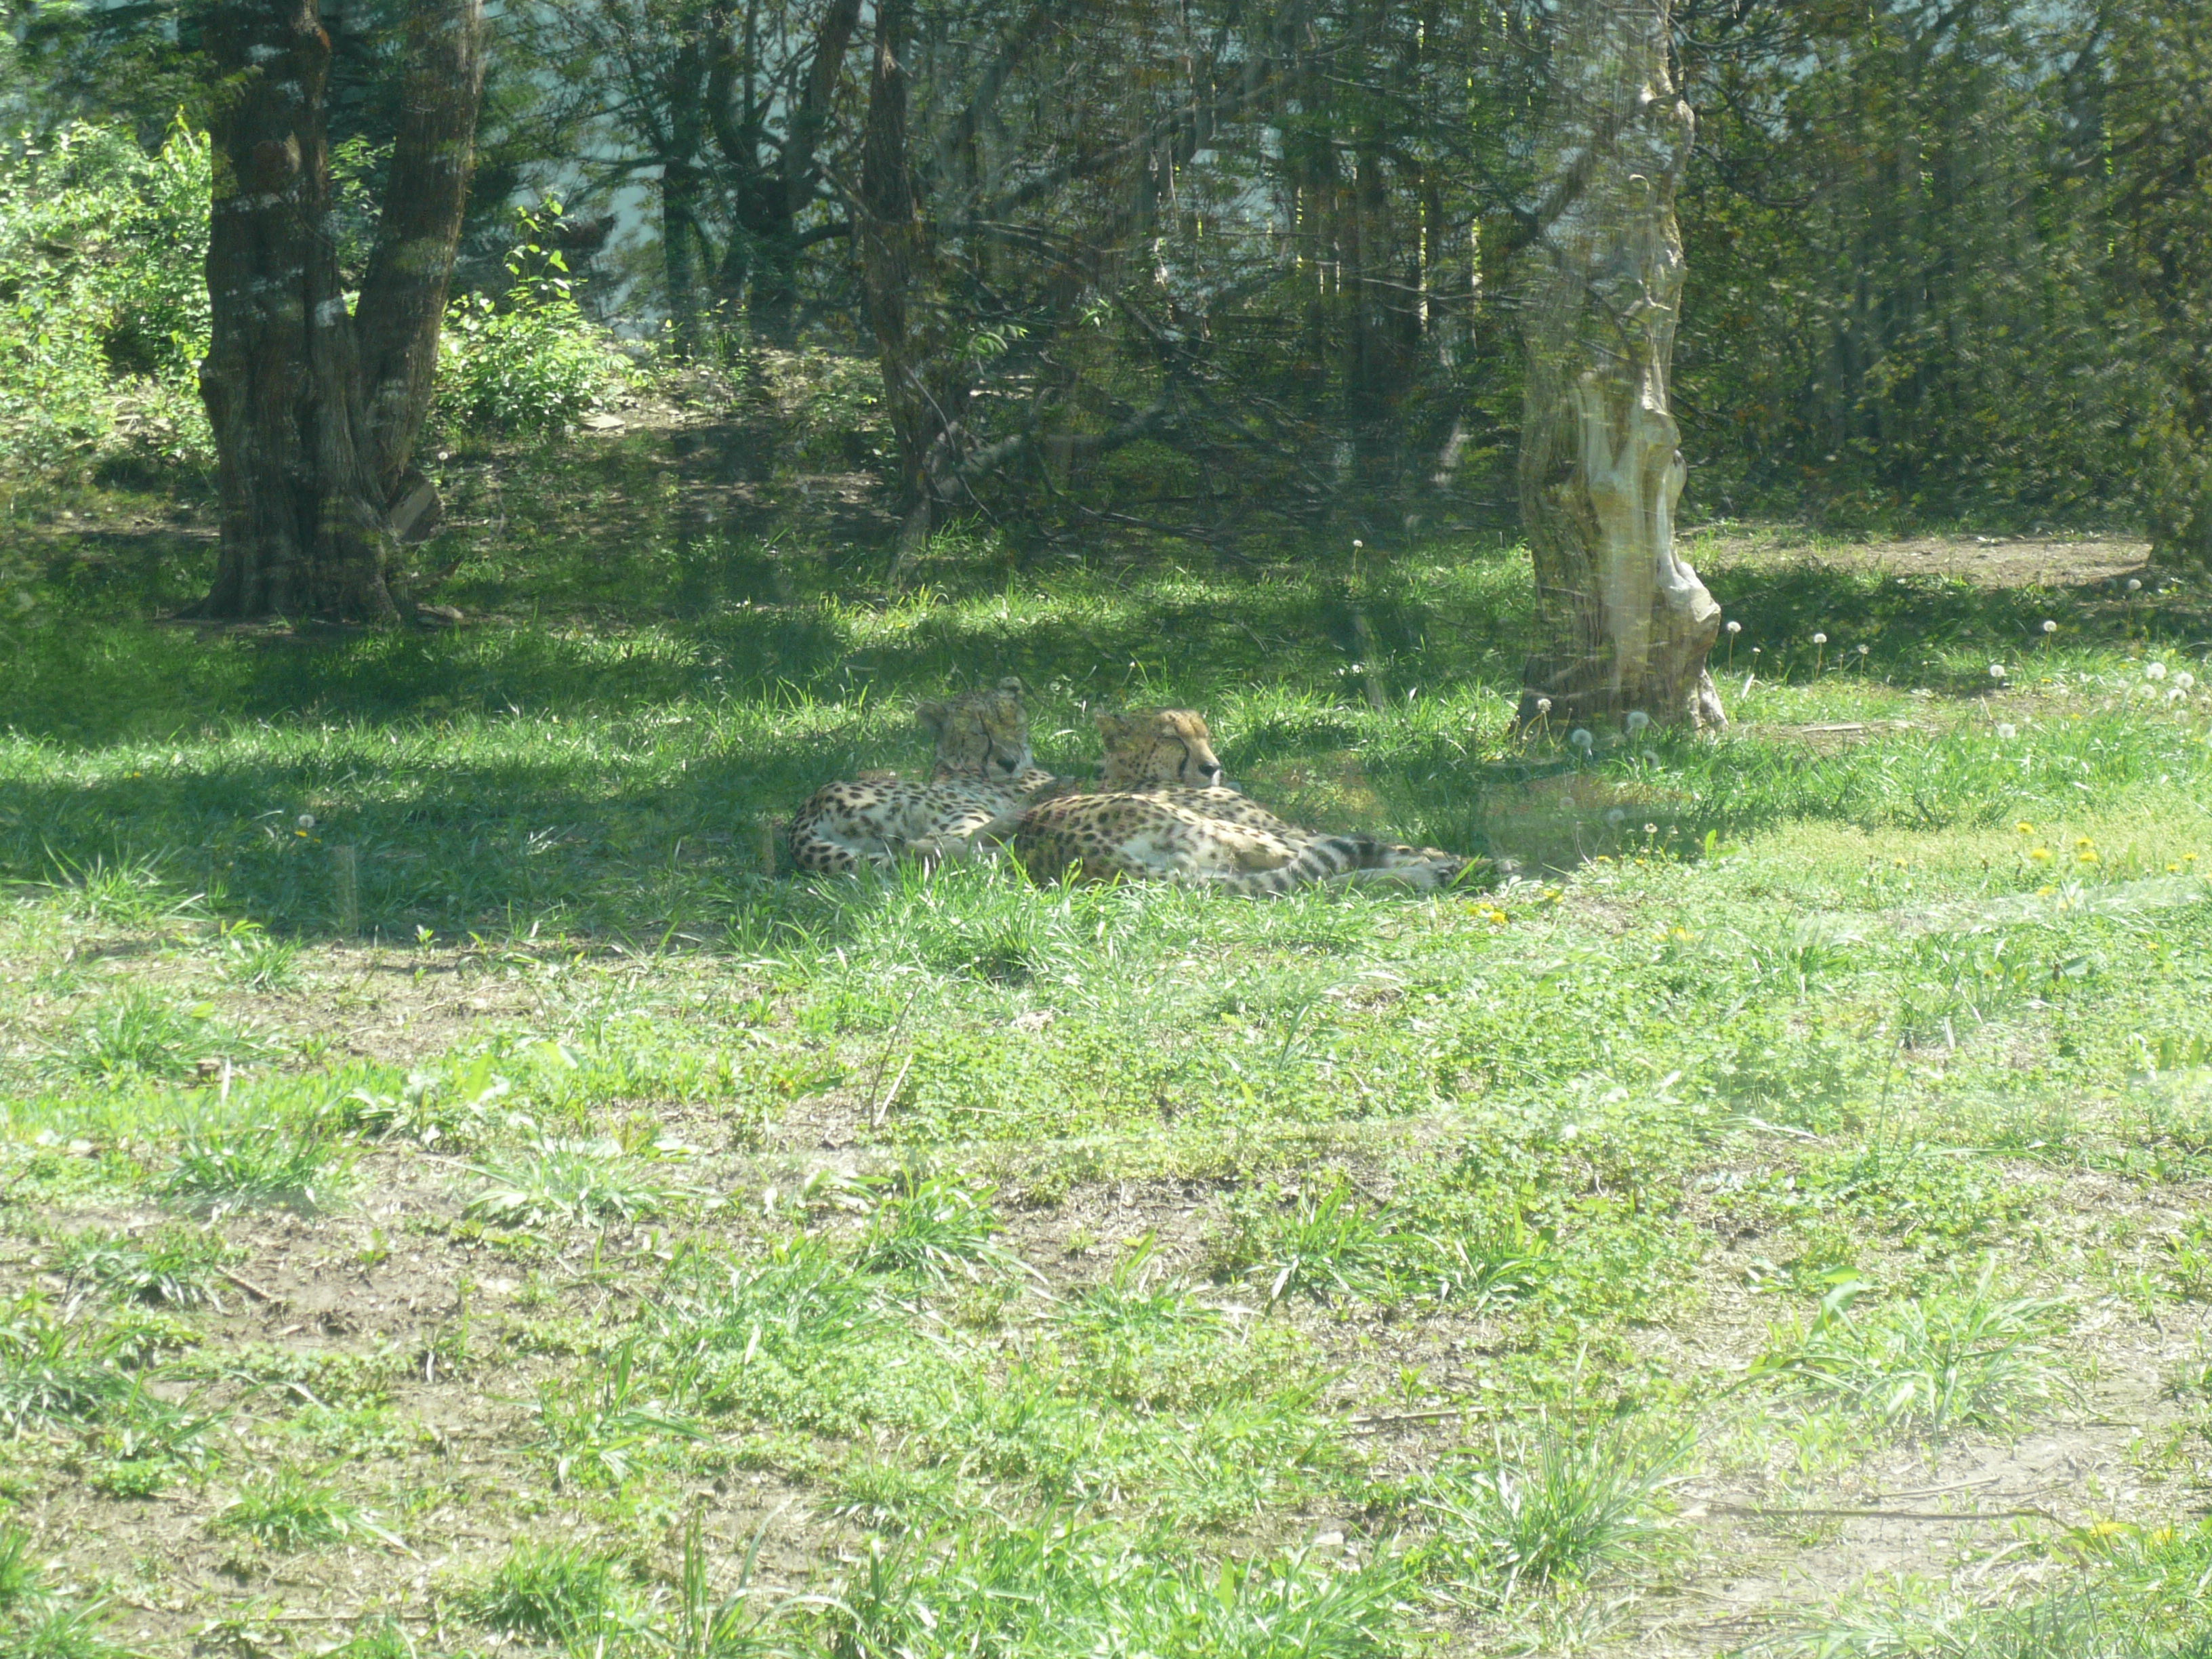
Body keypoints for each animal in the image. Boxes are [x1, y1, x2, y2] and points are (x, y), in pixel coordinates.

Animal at [788, 678, 1067, 875]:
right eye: (979, 733)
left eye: (1013, 725)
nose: (1010, 762)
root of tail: (808, 807)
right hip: (964, 811)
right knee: (942, 847)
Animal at [1006, 708, 1477, 893]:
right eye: (1173, 738)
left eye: (1205, 734)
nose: (1212, 767)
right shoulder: (1285, 830)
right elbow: (1396, 843)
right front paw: (1453, 857)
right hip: (1235, 834)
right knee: (1319, 872)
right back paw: (1446, 871)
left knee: (1312, 884)